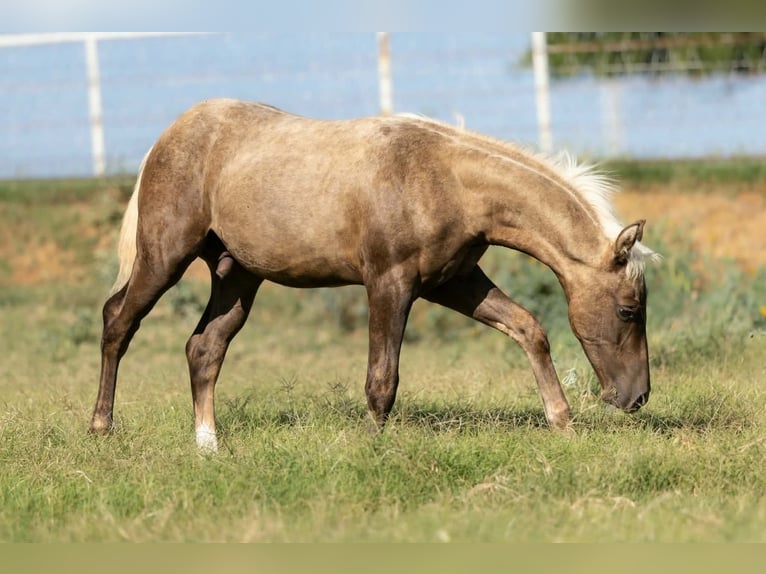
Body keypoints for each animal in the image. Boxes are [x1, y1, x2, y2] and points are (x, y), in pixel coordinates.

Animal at [89, 99, 659, 451]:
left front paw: (562, 423)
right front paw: (375, 447)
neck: (445, 180)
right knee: (118, 321)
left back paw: (208, 443)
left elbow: (527, 327)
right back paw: (101, 427)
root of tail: (167, 137)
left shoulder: (453, 281)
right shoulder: (390, 283)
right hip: (164, 257)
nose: (635, 397)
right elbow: (382, 378)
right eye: (629, 310)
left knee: (204, 347)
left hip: (237, 275)